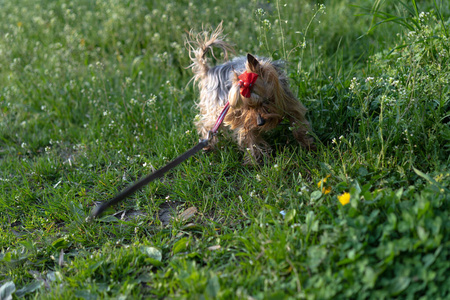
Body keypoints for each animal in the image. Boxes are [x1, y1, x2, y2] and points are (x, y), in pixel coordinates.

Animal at [185, 23, 314, 164]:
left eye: (266, 101)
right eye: (248, 107)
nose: (260, 123)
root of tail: (208, 71)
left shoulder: (288, 101)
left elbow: (297, 123)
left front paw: (308, 145)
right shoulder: (244, 118)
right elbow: (250, 138)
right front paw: (256, 161)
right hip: (215, 109)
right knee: (206, 124)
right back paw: (208, 146)